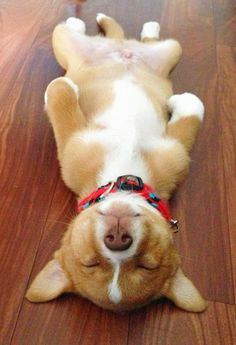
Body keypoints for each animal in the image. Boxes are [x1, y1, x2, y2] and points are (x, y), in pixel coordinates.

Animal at [26, 14, 206, 312]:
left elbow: (192, 112)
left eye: (146, 265)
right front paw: (64, 88)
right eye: (90, 262)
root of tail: (121, 47)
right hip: (62, 41)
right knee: (73, 35)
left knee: (149, 41)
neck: (124, 175)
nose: (118, 239)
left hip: (171, 50)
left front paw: (180, 102)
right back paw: (80, 23)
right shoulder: (72, 144)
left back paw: (142, 28)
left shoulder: (176, 153)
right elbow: (60, 95)